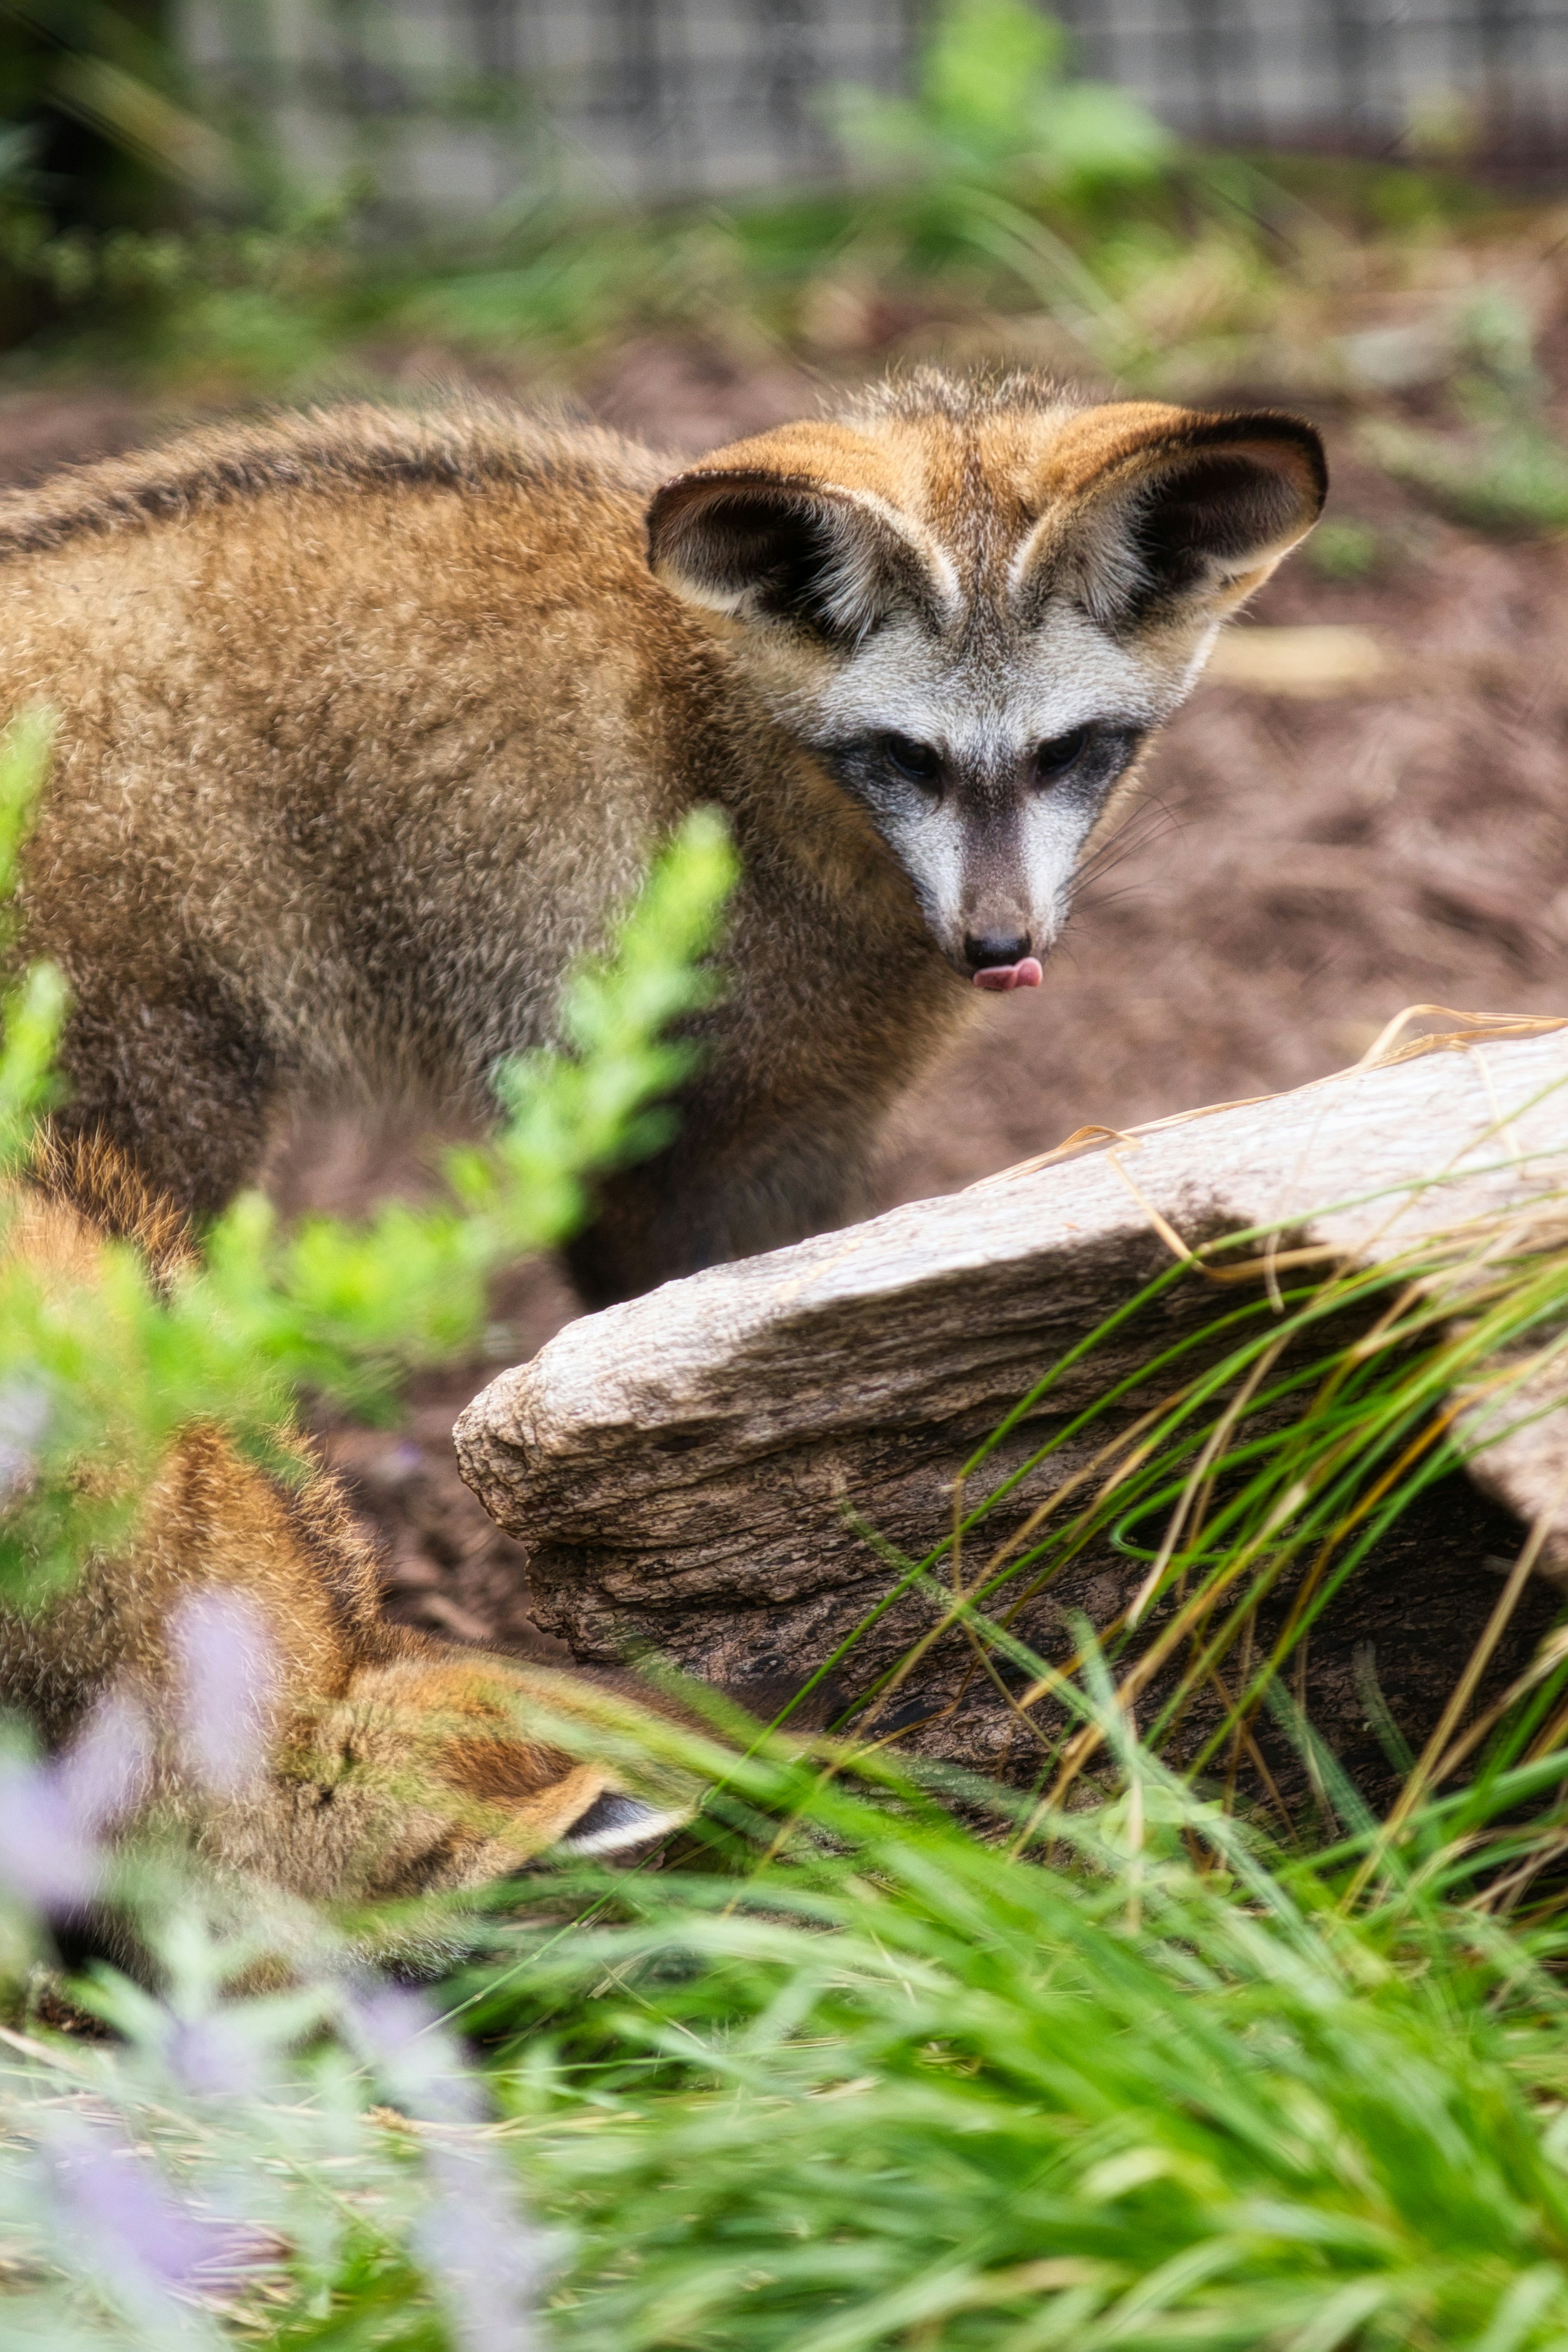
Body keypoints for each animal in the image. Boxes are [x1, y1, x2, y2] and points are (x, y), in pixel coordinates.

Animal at [0, 368, 1324, 1305]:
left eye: (1066, 753)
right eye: (908, 758)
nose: (998, 948)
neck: (719, 753)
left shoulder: (807, 1123)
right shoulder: (611, 1121)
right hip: (158, 1114)